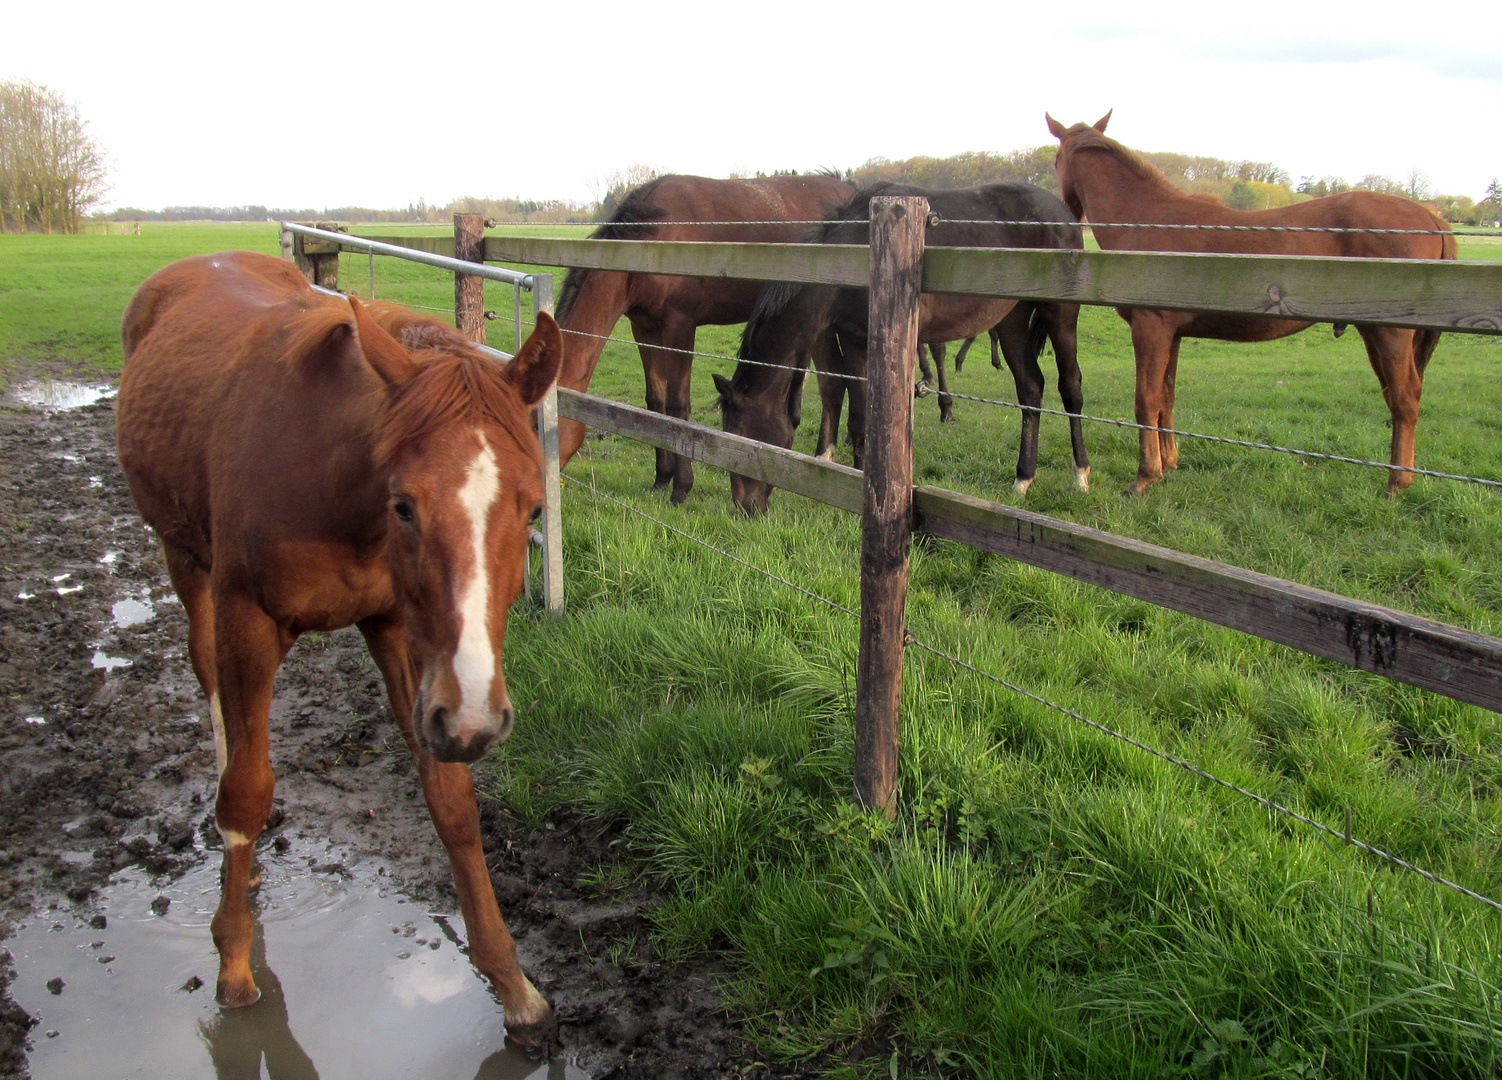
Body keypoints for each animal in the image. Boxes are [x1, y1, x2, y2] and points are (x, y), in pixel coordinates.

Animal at [115, 253, 564, 1045]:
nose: (477, 721)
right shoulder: (247, 620)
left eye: (534, 506)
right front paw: (235, 966)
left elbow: (451, 802)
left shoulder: (403, 635)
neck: (332, 482)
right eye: (404, 505)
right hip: (185, 563)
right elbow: (247, 791)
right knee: (211, 691)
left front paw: (512, 984)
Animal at [555, 171, 859, 501]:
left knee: (833, 383)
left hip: (824, 324)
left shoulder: (680, 326)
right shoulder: (644, 328)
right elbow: (655, 401)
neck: (651, 241)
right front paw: (661, 478)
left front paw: (681, 487)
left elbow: (677, 404)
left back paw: (825, 458)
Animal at [714, 181, 1093, 516]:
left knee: (1069, 387)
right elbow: (858, 419)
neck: (853, 253)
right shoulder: (853, 339)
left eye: (743, 435)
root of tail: (1062, 213)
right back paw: (1023, 479)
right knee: (1030, 388)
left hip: (1060, 313)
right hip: (1011, 319)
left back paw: (1081, 475)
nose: (746, 507)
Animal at [1045, 107, 1453, 495]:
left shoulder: (1150, 329)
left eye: (1055, 159)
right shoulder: (1171, 335)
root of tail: (1431, 216)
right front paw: (1168, 464)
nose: (1064, 213)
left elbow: (1146, 399)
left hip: (1389, 333)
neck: (1148, 218)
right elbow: (1166, 397)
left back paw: (1396, 484)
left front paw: (1145, 476)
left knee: (1404, 399)